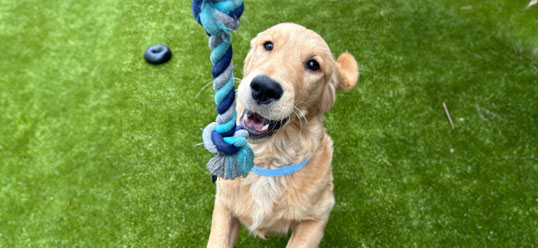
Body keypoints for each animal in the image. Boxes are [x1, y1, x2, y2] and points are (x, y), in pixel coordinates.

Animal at [207, 22, 358, 247]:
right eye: (268, 45)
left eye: (313, 65)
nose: (264, 88)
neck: (268, 162)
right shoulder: (224, 204)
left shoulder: (317, 218)